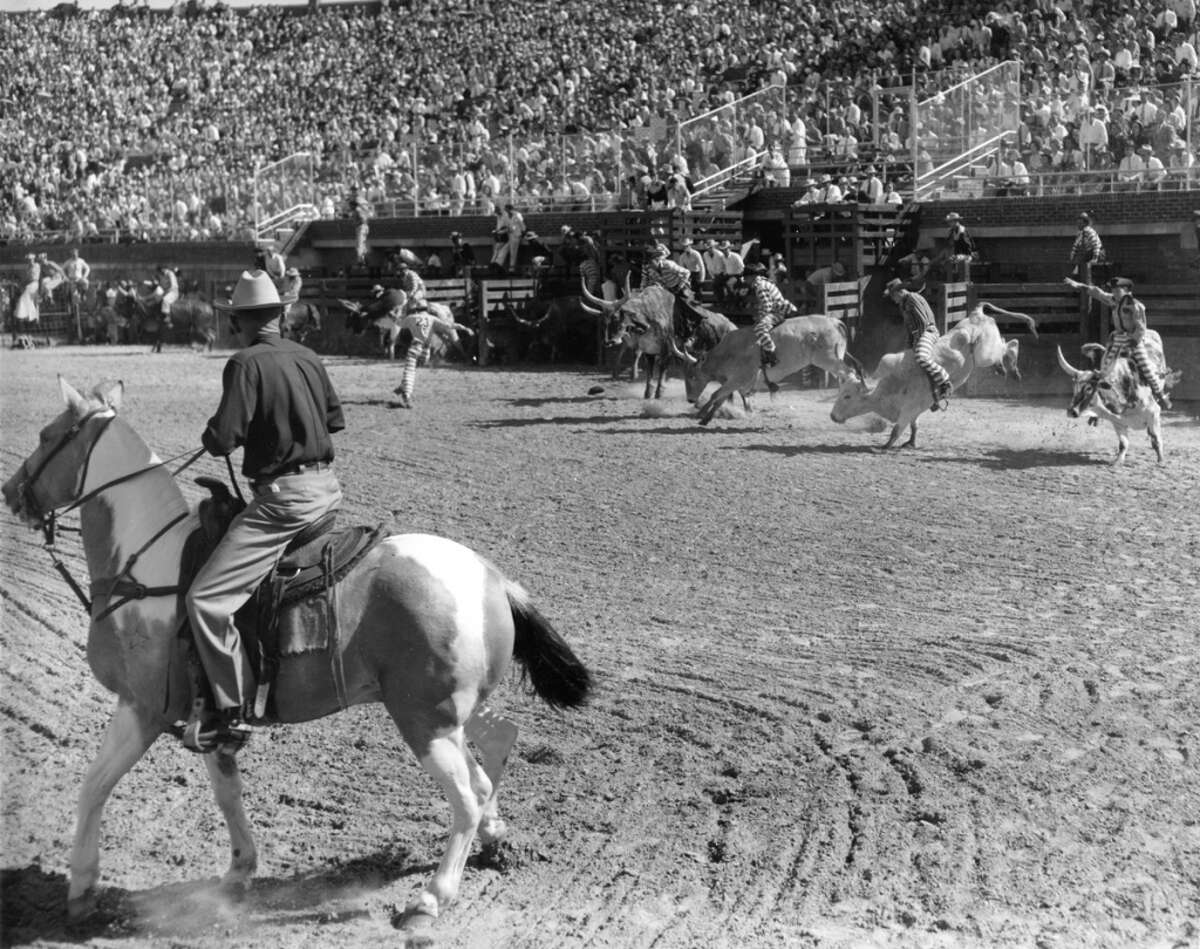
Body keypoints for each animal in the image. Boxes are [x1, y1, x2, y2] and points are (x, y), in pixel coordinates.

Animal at [2, 376, 592, 926]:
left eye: (47, 435)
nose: (11, 491)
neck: (148, 565)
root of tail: (491, 578)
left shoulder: (143, 708)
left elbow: (93, 786)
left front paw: (82, 889)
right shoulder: (211, 714)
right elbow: (227, 792)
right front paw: (238, 872)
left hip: (426, 722)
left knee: (466, 798)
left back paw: (431, 899)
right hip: (449, 719)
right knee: (483, 781)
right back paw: (495, 843)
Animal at [830, 305, 1036, 451]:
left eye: (847, 396)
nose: (832, 416)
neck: (887, 385)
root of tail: (976, 314)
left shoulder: (908, 408)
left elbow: (896, 430)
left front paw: (885, 446)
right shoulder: (915, 410)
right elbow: (914, 426)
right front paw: (911, 443)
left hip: (984, 354)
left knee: (1009, 344)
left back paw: (1011, 368)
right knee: (1005, 344)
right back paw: (1005, 368)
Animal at [1056, 331, 1176, 465]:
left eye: (1089, 388)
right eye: (1075, 387)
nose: (1071, 411)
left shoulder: (1154, 412)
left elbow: (1156, 439)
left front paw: (1161, 460)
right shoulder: (1117, 421)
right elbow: (1123, 443)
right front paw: (1117, 461)